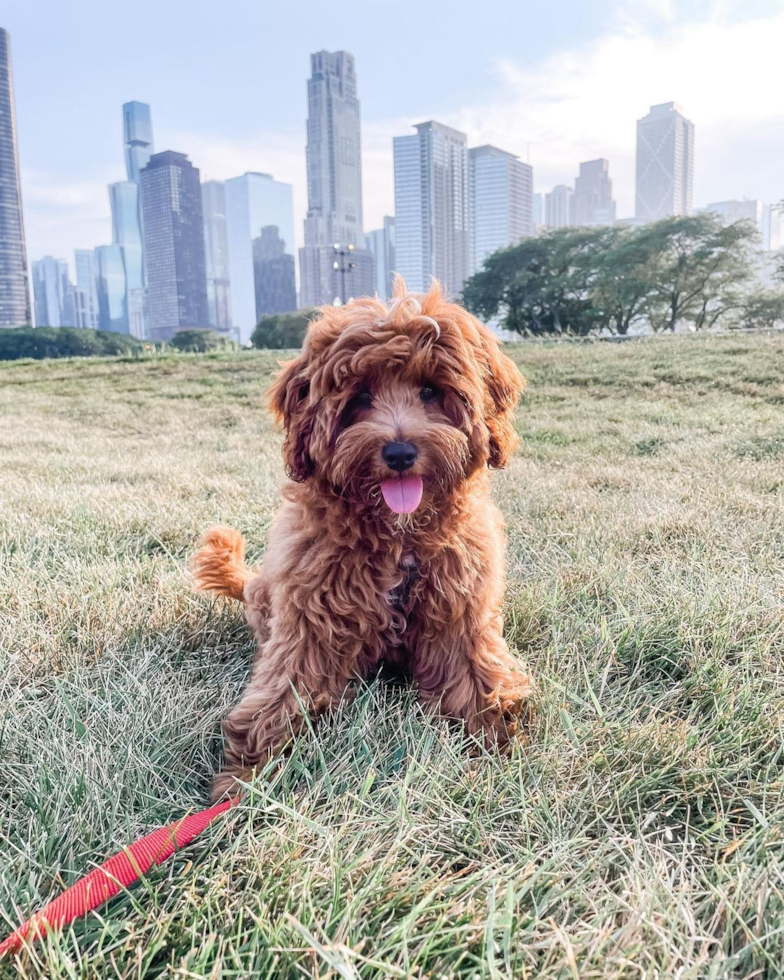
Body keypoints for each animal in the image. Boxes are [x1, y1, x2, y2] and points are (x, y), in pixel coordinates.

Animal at [193, 274, 528, 796]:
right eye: (360, 398)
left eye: (430, 390)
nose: (399, 453)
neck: (400, 539)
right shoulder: (310, 614)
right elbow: (286, 687)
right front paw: (248, 773)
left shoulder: (460, 605)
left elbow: (474, 672)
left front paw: (495, 731)